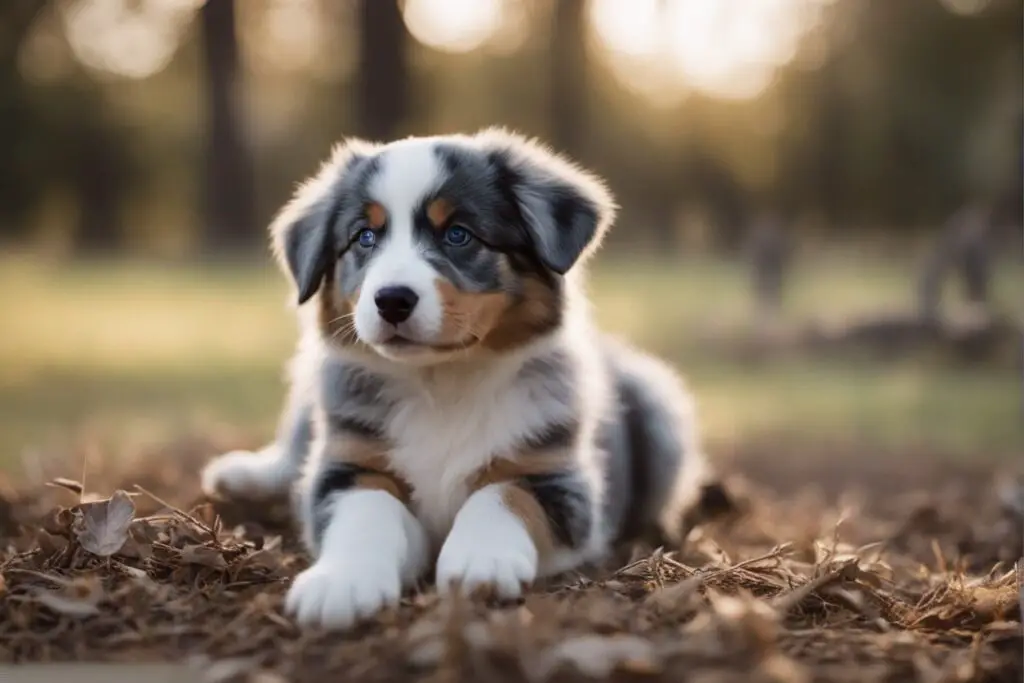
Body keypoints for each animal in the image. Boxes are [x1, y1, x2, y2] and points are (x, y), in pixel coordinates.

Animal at [197, 126, 712, 630]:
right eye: (364, 237)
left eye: (459, 235)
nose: (392, 300)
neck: (442, 382)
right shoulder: (347, 464)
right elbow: (367, 510)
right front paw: (340, 582)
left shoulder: (561, 483)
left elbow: (500, 494)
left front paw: (481, 559)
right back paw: (245, 474)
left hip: (657, 401)